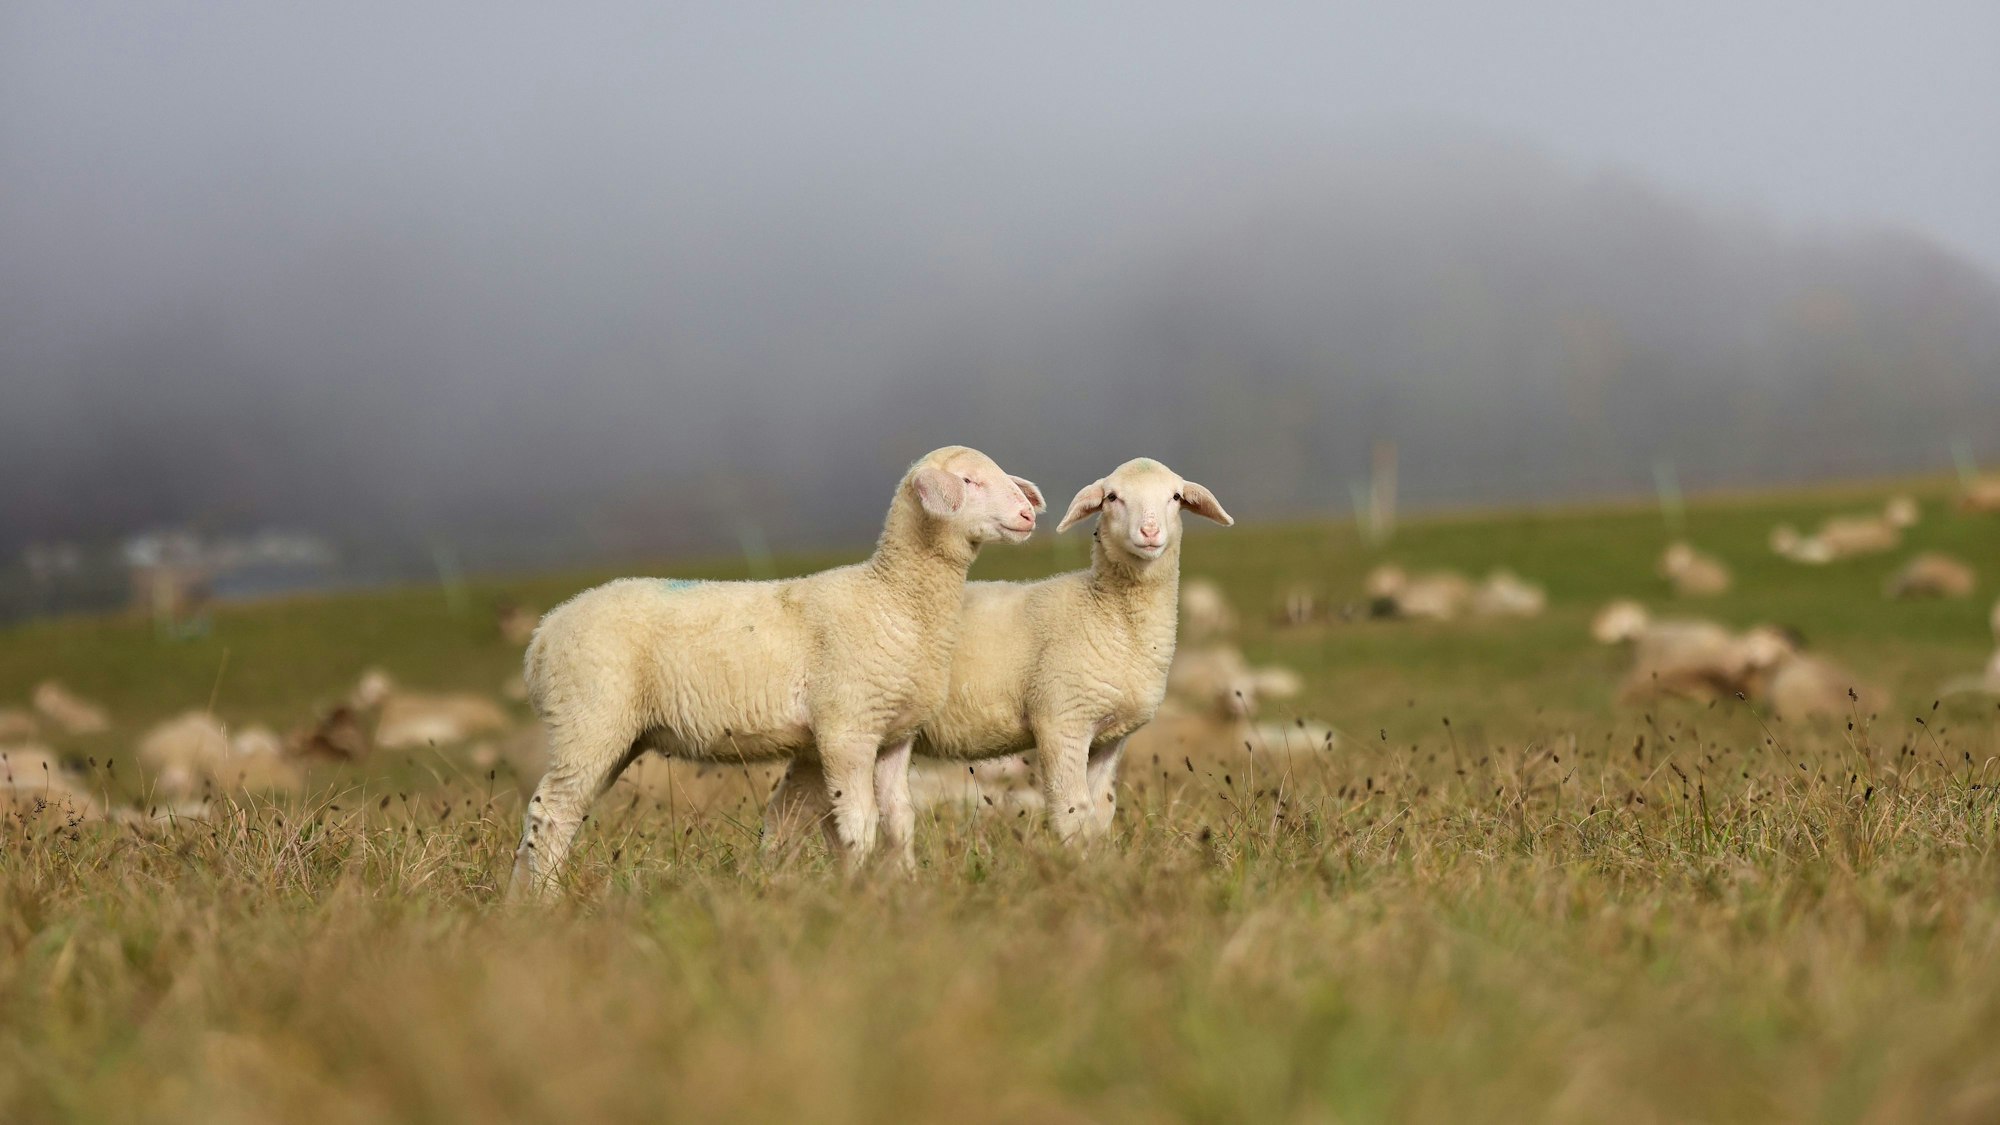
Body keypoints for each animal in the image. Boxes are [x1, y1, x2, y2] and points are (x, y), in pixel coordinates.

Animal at [510, 446, 1041, 897]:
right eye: (969, 480)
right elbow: (858, 823)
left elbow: (898, 820)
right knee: (553, 812)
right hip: (589, 719)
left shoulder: (894, 735)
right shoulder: (847, 729)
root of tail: (542, 635)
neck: (892, 598)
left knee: (545, 816)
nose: (1028, 515)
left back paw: (520, 902)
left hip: (613, 735)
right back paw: (546, 898)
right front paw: (857, 890)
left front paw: (903, 886)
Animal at [763, 457, 1231, 856]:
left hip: (820, 742)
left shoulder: (1109, 738)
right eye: (1113, 497)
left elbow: (1100, 815)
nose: (1149, 533)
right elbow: (1072, 812)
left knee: (786, 813)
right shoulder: (1061, 720)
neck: (1106, 612)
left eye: (1175, 497)